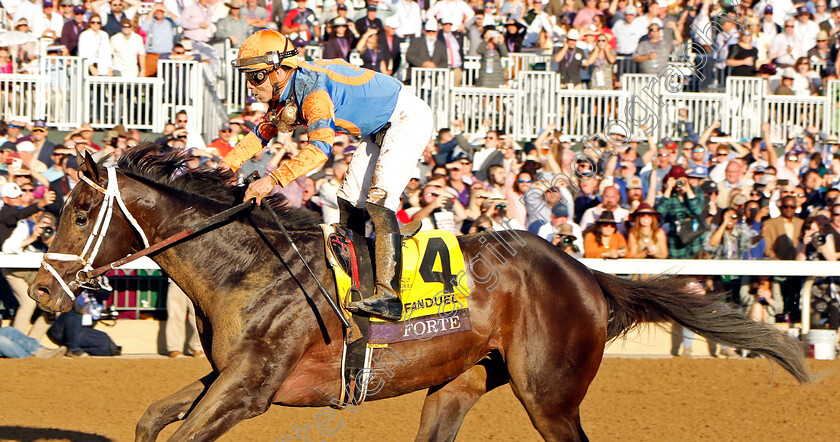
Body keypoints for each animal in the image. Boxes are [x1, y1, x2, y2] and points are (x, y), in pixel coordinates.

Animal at [29, 148, 812, 442]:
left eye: (79, 212)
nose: (39, 288)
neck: (245, 265)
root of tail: (586, 275)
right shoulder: (231, 375)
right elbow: (151, 418)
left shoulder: (250, 391)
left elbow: (183, 429)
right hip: (458, 382)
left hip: (549, 396)